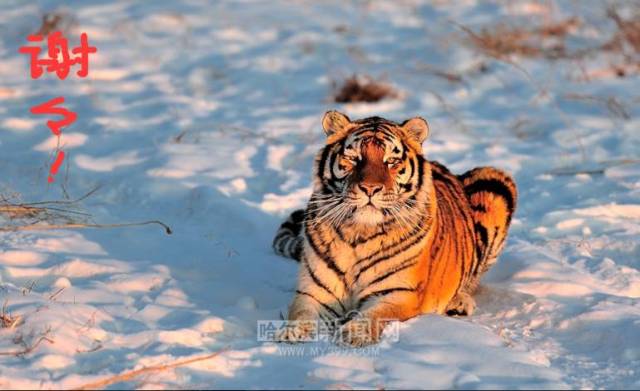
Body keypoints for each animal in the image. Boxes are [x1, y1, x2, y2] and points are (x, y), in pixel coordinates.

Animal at [272, 110, 516, 346]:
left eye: (391, 161)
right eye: (353, 158)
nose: (370, 189)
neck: (359, 232)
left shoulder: (399, 293)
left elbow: (373, 315)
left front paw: (353, 335)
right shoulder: (314, 292)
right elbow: (301, 313)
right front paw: (291, 334)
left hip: (495, 181)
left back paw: (459, 302)